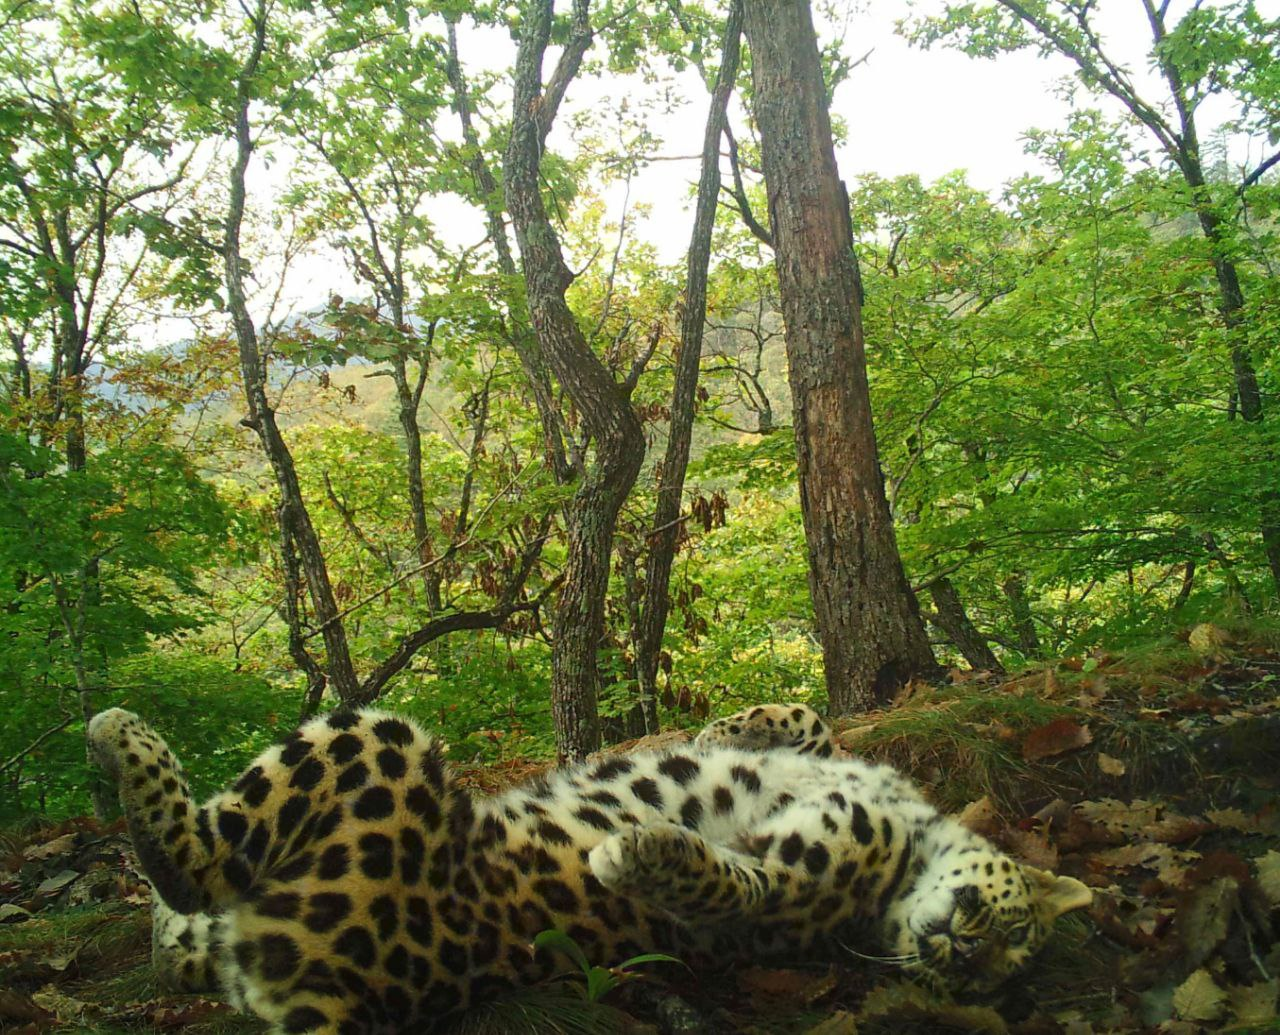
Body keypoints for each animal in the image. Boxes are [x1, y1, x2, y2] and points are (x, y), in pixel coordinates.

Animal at [92, 701, 1090, 1033]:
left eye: (999, 969)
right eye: (1008, 924)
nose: (958, 954)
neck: (917, 833)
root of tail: (338, 990)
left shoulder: (784, 891)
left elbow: (728, 880)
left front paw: (632, 848)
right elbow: (811, 717)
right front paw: (731, 726)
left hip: (379, 742)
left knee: (195, 861)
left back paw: (120, 740)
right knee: (183, 931)